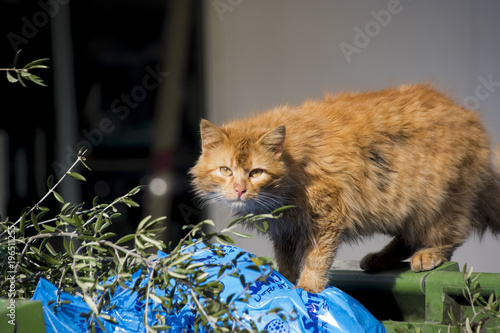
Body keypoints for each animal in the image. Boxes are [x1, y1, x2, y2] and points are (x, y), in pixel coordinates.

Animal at [188, 84, 500, 292]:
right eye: (225, 170)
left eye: (256, 172)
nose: (240, 190)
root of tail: (470, 119)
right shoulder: (286, 231)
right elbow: (286, 264)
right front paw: (286, 285)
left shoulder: (325, 217)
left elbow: (315, 261)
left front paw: (307, 290)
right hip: (401, 208)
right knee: (407, 238)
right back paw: (379, 258)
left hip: (436, 202)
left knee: (447, 236)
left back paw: (428, 254)